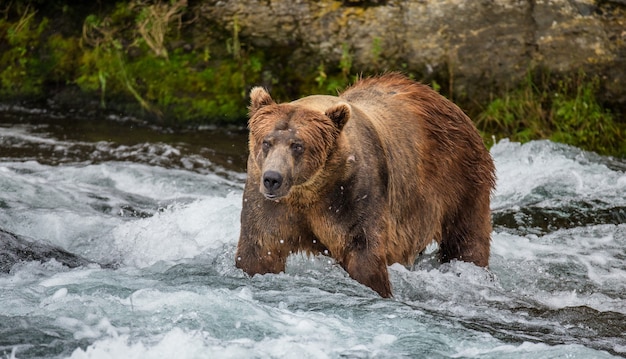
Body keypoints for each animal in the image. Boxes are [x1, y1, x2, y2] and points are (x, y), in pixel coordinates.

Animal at [233, 73, 492, 298]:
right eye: (266, 141)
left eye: (298, 145)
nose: (272, 179)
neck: (311, 191)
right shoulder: (270, 205)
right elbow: (259, 250)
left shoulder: (354, 195)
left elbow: (363, 254)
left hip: (460, 179)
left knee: (467, 237)